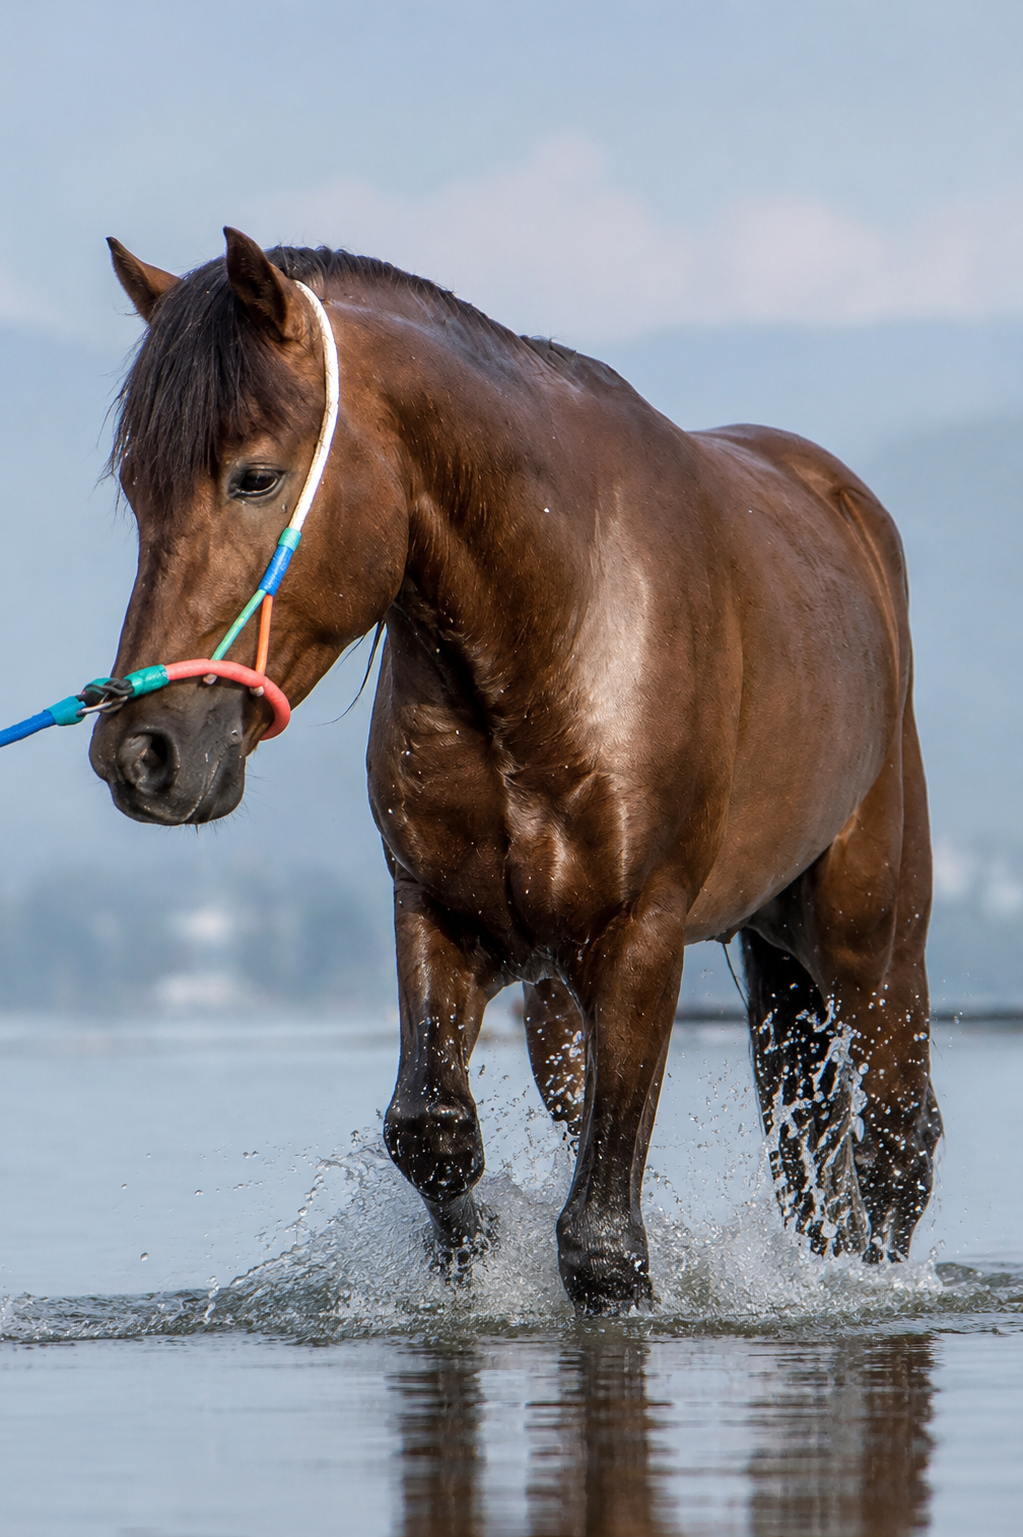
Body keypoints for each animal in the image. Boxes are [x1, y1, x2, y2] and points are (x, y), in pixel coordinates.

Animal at [90, 227, 942, 1316]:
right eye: (136, 486)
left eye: (254, 477)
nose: (141, 753)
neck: (552, 622)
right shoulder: (437, 914)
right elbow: (432, 1131)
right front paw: (474, 1256)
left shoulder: (639, 938)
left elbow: (604, 1242)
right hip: (667, 984)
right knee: (808, 1162)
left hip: (868, 944)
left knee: (896, 1142)